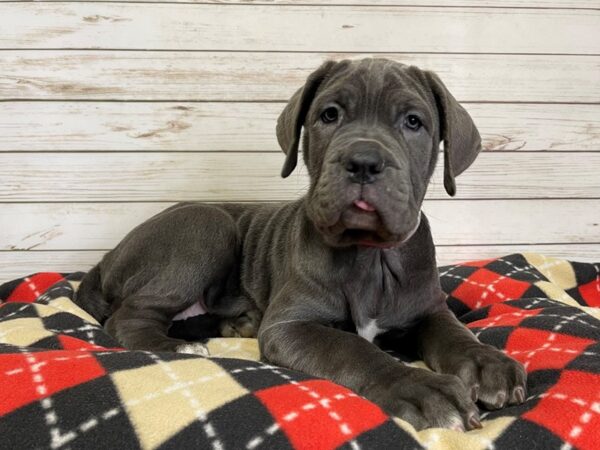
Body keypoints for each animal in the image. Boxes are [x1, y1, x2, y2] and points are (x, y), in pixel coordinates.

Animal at [75, 58, 524, 430]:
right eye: (329, 114)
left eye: (414, 122)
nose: (364, 161)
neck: (369, 256)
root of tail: (104, 260)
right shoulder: (290, 326)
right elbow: (351, 347)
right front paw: (418, 386)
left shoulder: (428, 308)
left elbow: (454, 332)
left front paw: (487, 362)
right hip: (207, 226)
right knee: (126, 317)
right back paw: (182, 347)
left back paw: (235, 324)